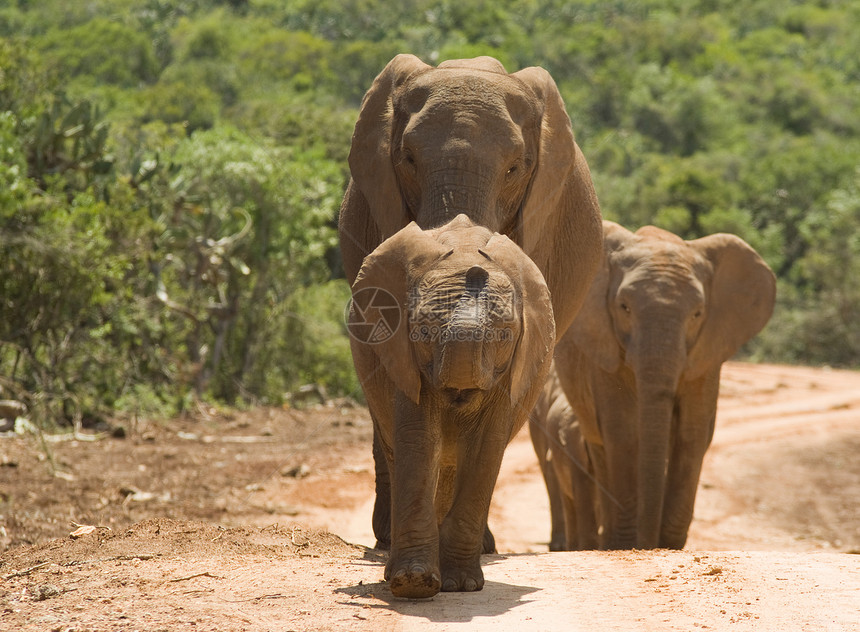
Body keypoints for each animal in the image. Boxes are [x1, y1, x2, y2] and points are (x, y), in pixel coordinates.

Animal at [348, 215, 556, 596]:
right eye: (424, 331)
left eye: (503, 335)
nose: (476, 273)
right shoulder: (402, 354)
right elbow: (419, 438)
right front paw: (414, 583)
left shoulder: (511, 367)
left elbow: (486, 447)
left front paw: (460, 585)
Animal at [552, 221, 780, 548]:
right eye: (624, 307)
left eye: (697, 314)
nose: (648, 545)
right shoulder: (604, 348)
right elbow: (623, 433)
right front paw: (628, 543)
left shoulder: (706, 352)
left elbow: (691, 433)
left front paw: (668, 545)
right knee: (599, 443)